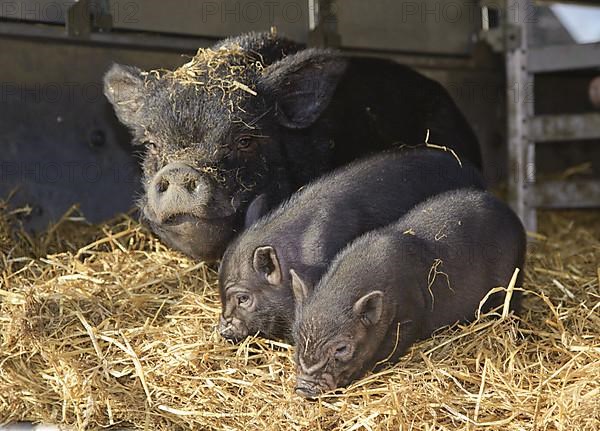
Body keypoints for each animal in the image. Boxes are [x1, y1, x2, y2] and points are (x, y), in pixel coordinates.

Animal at [292, 189, 524, 398]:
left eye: (341, 348)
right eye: (296, 339)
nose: (303, 389)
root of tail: (510, 214)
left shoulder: (409, 314)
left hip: (512, 275)